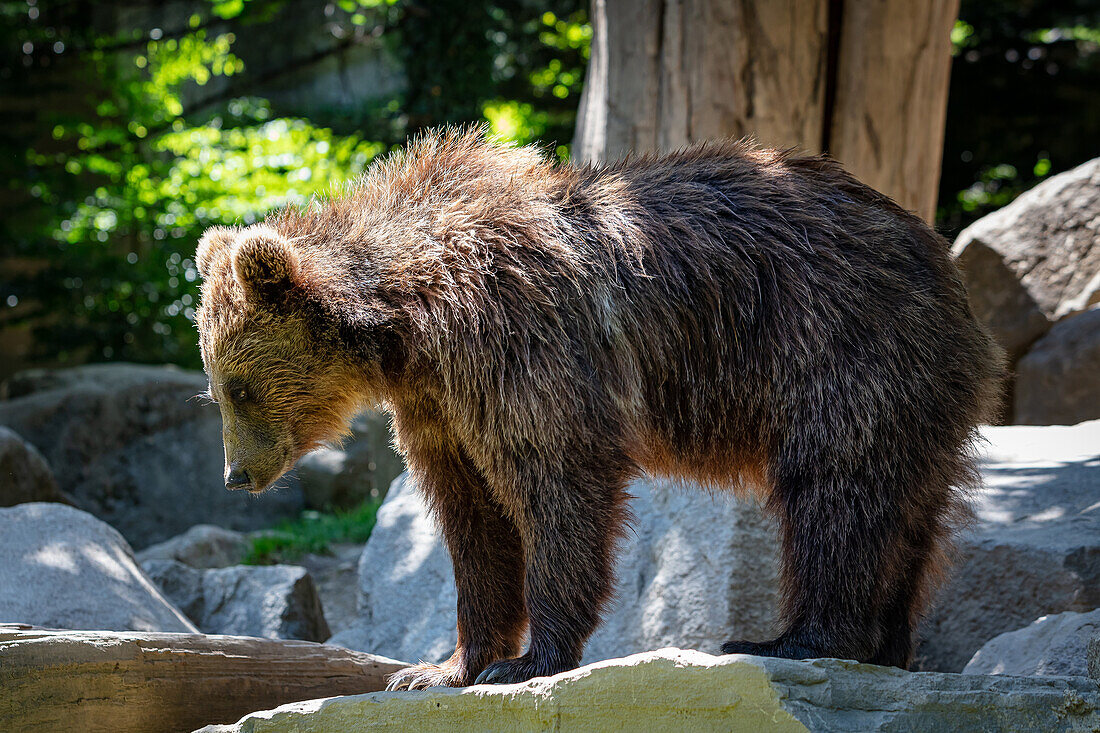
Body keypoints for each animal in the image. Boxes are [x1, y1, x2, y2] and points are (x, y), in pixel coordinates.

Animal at [193, 127, 1003, 686]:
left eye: (236, 385)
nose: (235, 475)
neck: (409, 326)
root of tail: (938, 256)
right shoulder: (441, 411)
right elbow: (471, 521)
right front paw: (442, 665)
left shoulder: (521, 347)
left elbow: (559, 488)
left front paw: (528, 659)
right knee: (909, 514)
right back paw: (889, 645)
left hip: (839, 349)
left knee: (837, 492)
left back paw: (793, 638)